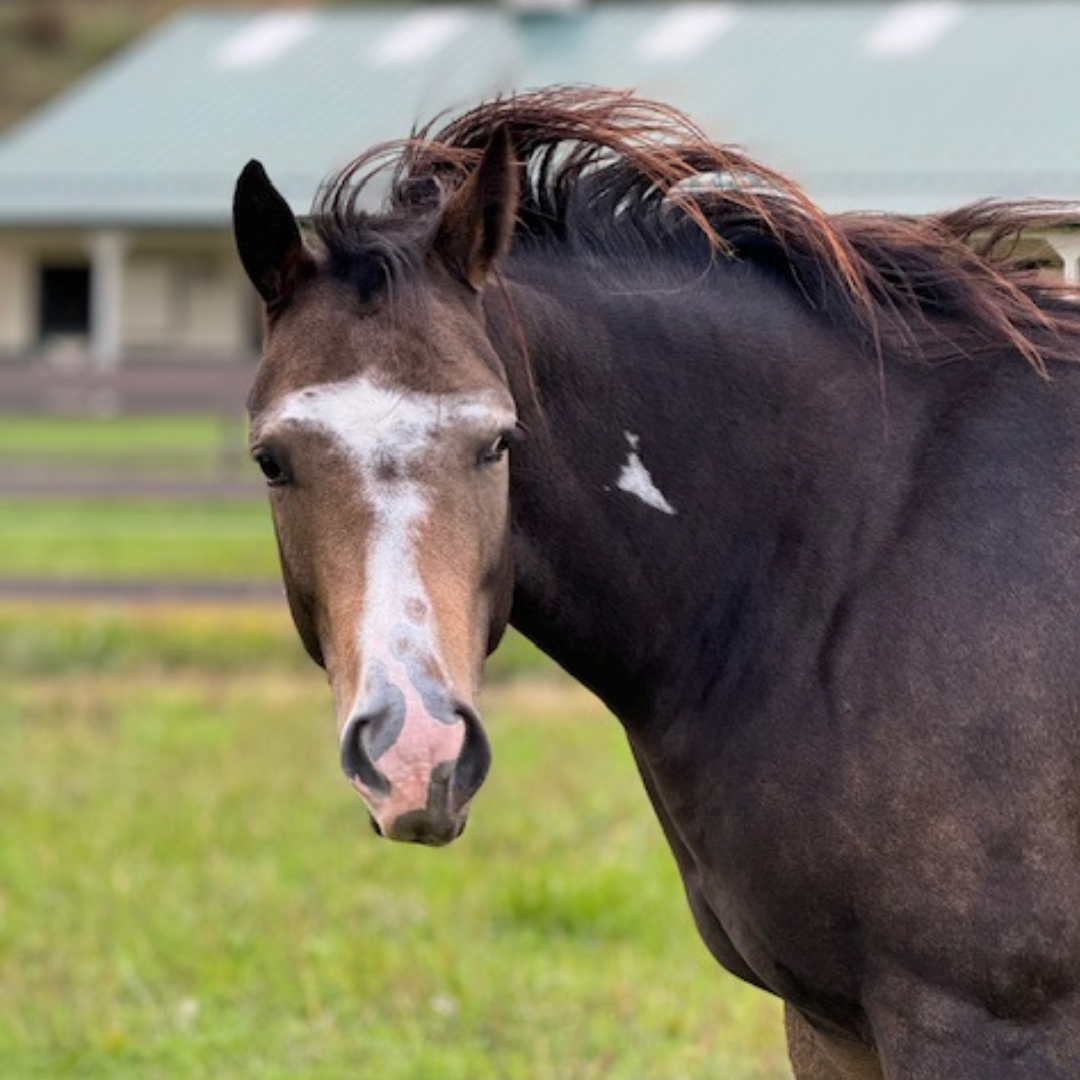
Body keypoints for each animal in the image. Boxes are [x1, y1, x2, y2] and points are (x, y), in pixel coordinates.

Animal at [232, 87, 1080, 1078]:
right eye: (272, 461)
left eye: (499, 441)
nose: (416, 755)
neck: (850, 549)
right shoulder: (832, 1025)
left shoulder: (976, 1022)